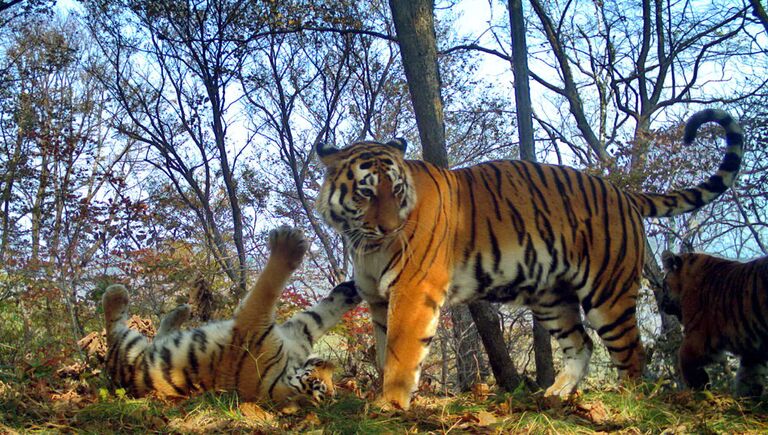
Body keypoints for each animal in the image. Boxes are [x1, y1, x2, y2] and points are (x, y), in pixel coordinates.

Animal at [102, 227, 364, 410]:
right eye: (322, 382)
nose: (327, 365)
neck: (288, 370)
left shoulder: (254, 322)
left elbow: (268, 286)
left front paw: (288, 243)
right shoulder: (297, 333)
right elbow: (321, 315)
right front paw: (352, 289)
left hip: (130, 351)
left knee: (113, 329)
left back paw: (116, 293)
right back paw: (180, 311)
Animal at [314, 108, 744, 408]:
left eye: (397, 190)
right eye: (367, 192)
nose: (389, 228)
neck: (364, 243)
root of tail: (622, 193)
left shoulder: (413, 291)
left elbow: (401, 355)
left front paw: (389, 406)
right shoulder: (378, 299)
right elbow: (384, 352)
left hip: (608, 295)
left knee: (633, 353)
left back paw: (628, 402)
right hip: (552, 299)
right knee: (581, 345)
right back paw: (554, 395)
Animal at [660, 250, 768, 396]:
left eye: (664, 285)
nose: (661, 305)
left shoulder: (698, 337)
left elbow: (684, 359)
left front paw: (700, 390)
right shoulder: (753, 352)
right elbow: (748, 379)